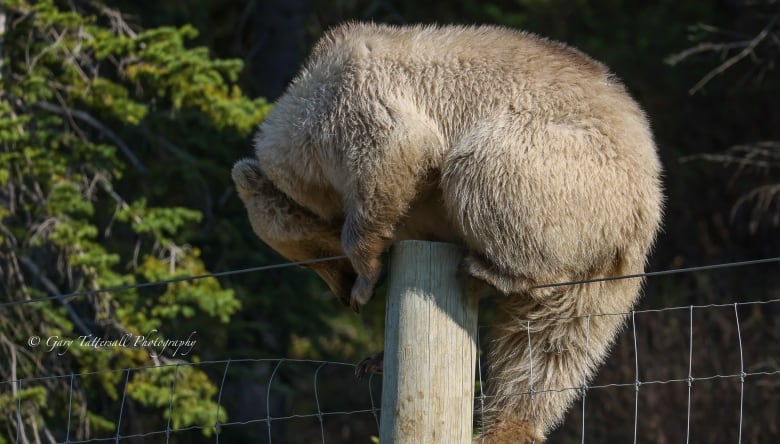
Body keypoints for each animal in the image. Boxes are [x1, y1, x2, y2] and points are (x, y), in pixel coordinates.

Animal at [232, 22, 664, 442]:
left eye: (316, 259)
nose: (344, 298)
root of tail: (647, 200)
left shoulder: (357, 104)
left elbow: (396, 148)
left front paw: (367, 274)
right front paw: (375, 356)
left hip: (564, 170)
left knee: (480, 170)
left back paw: (497, 271)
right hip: (599, 260)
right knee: (546, 345)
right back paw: (508, 424)